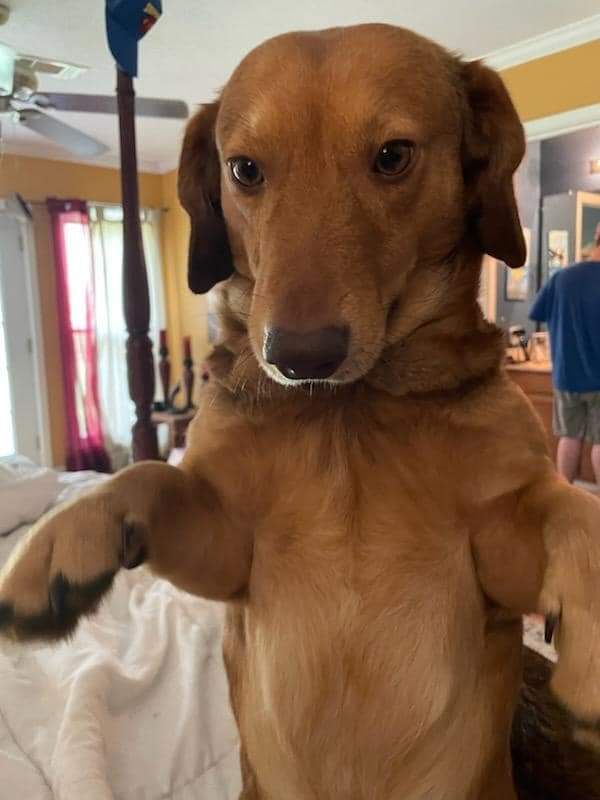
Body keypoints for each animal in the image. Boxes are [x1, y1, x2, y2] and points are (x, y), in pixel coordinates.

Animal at [1, 24, 600, 800]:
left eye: (393, 156)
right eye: (245, 170)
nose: (298, 356)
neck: (349, 412)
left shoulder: (500, 555)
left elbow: (574, 511)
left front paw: (589, 653)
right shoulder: (227, 549)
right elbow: (147, 475)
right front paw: (55, 546)